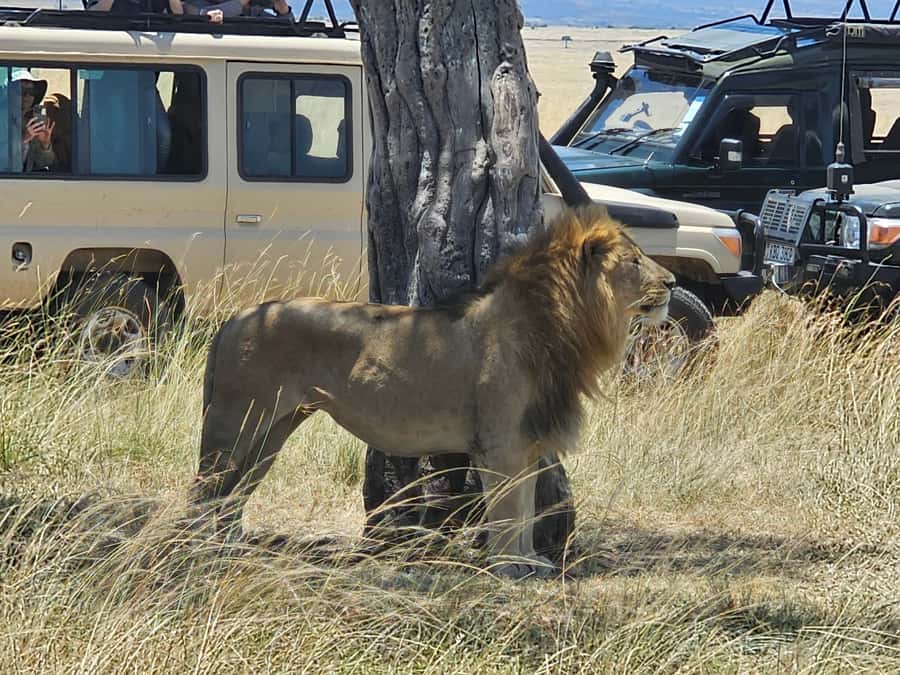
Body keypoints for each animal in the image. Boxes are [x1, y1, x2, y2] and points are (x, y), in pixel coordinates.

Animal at [191, 205, 676, 577]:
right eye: (634, 261)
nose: (672, 282)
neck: (561, 326)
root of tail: (234, 319)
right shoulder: (501, 443)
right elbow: (509, 511)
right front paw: (508, 567)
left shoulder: (527, 442)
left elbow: (524, 510)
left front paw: (530, 562)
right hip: (234, 423)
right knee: (205, 490)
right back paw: (197, 553)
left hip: (272, 431)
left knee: (232, 495)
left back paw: (227, 549)